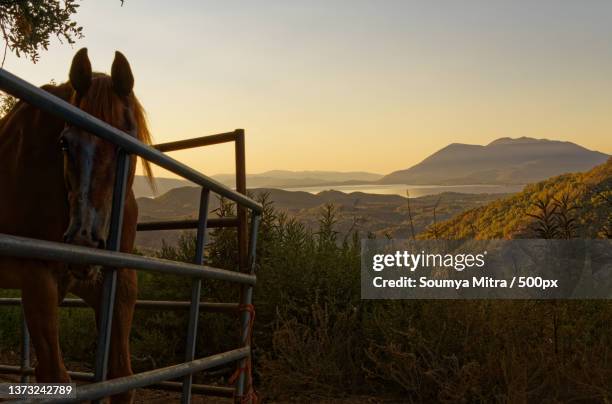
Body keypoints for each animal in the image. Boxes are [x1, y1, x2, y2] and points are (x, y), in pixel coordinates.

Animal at [0, 46, 153, 400]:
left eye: (127, 140)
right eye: (65, 142)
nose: (84, 241)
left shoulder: (115, 283)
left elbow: (120, 378)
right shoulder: (37, 277)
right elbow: (54, 376)